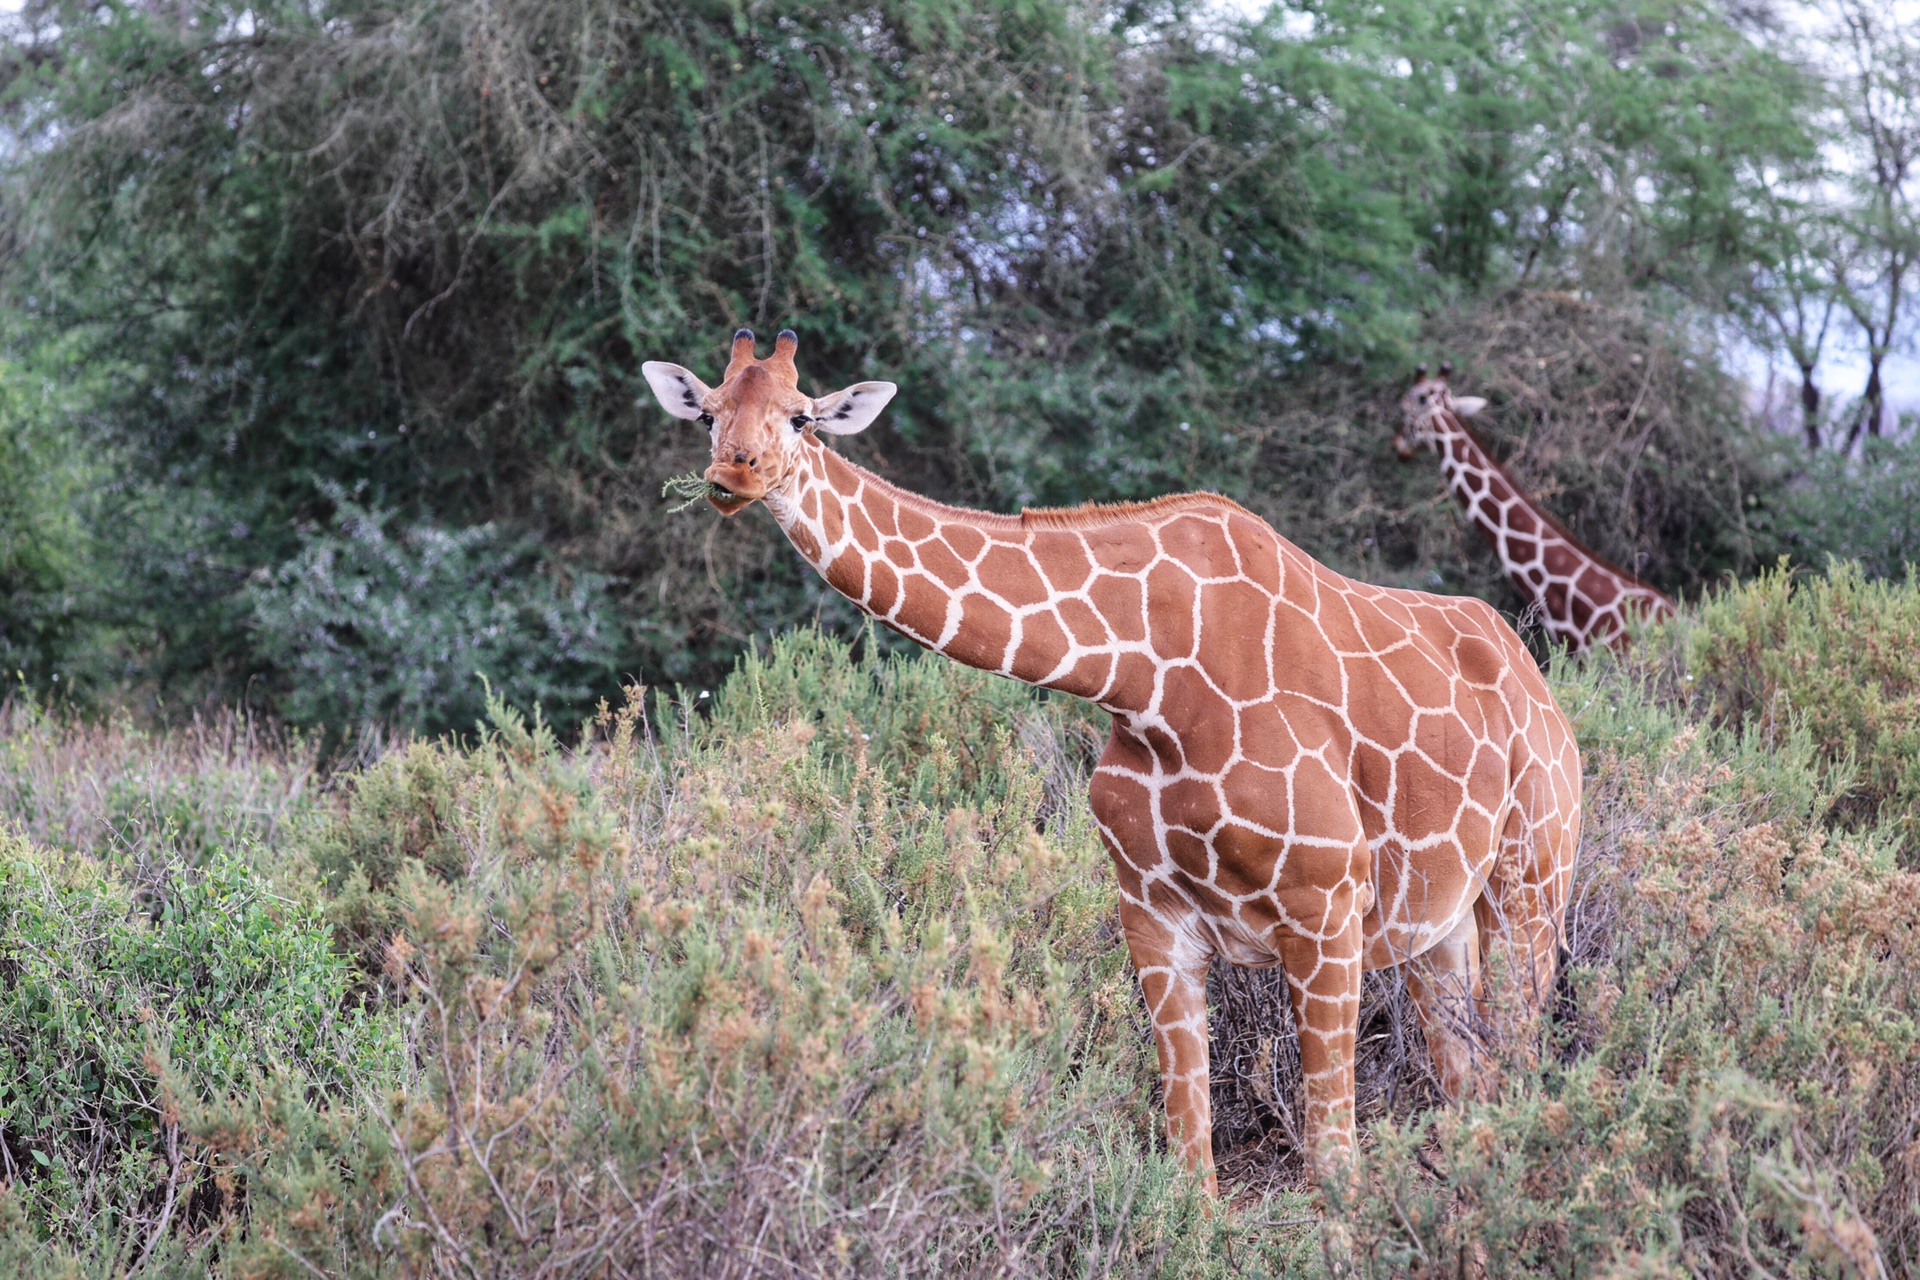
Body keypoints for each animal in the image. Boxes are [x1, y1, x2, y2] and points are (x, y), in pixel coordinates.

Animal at [637, 328, 1582, 1189]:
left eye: (801, 415)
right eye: (709, 413)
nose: (733, 476)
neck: (1146, 678)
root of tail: (1541, 691)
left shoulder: (1325, 910)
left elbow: (1332, 1166)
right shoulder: (1155, 918)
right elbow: (1191, 1163)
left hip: (1530, 883)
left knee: (1518, 1078)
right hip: (1440, 926)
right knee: (1473, 1093)